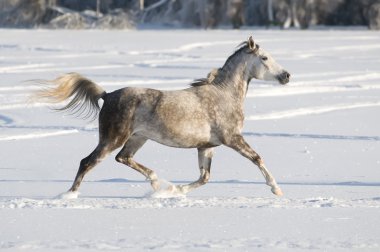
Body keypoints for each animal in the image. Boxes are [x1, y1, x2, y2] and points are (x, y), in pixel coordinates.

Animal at [35, 36, 290, 197]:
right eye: (264, 58)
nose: (286, 75)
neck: (223, 95)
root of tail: (107, 96)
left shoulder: (206, 146)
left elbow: (204, 177)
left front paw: (175, 191)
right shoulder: (232, 139)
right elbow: (257, 158)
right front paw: (276, 189)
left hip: (137, 138)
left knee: (123, 158)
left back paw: (157, 182)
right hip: (112, 139)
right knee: (87, 162)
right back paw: (70, 196)